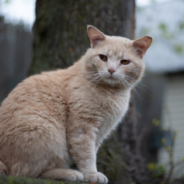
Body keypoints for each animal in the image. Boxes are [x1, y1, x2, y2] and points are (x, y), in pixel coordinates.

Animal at [0, 25, 152, 183]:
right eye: (103, 57)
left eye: (124, 62)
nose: (111, 70)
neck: (111, 93)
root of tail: (2, 160)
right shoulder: (83, 128)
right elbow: (87, 155)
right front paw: (92, 174)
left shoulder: (100, 132)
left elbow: (93, 151)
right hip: (46, 133)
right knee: (27, 172)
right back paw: (70, 173)